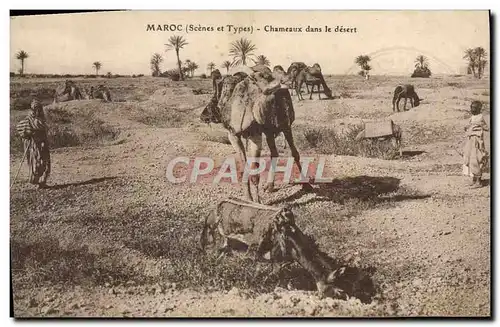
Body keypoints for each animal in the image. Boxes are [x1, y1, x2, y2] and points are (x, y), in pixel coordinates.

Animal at [200, 197, 352, 300]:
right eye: (335, 290)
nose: (345, 298)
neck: (291, 239)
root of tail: (216, 207)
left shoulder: (282, 262)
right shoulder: (276, 261)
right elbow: (274, 279)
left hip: (228, 241)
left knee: (224, 254)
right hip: (217, 236)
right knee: (212, 252)